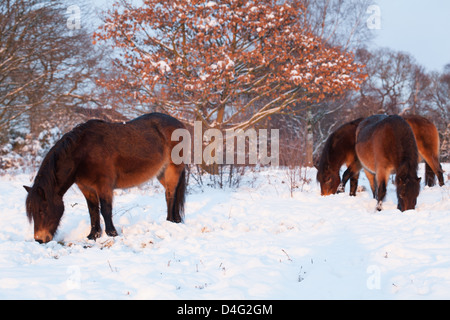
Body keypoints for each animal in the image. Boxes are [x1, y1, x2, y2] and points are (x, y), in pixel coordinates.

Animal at [24, 112, 186, 242]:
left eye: (42, 210)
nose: (39, 239)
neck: (83, 153)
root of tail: (179, 124)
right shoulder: (87, 188)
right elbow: (93, 211)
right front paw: (93, 235)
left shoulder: (104, 186)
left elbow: (105, 210)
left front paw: (112, 233)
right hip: (161, 174)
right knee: (173, 193)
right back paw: (177, 220)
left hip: (172, 170)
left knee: (170, 195)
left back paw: (170, 221)